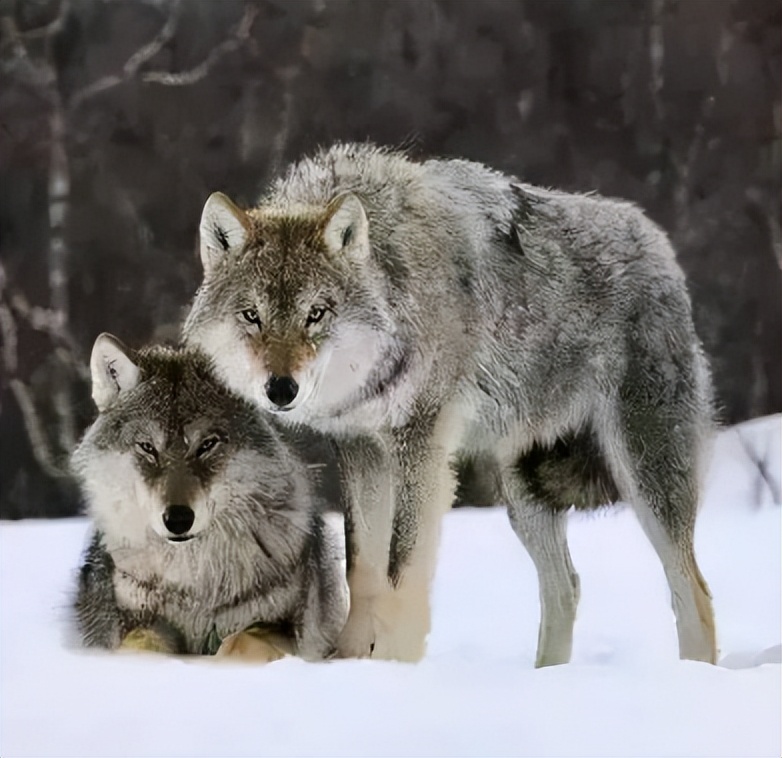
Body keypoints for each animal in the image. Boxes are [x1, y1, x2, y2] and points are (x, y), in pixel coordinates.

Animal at [73, 336, 350, 664]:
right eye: (147, 447)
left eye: (207, 445)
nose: (178, 519)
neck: (194, 584)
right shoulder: (137, 619)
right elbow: (141, 644)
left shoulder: (278, 626)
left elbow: (240, 642)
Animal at [185, 142, 724, 664]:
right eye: (251, 315)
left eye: (316, 314)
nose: (281, 390)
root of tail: (657, 242)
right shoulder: (361, 449)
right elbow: (362, 570)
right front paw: (351, 662)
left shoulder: (420, 445)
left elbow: (400, 573)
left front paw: (393, 666)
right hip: (523, 491)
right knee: (566, 588)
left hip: (644, 475)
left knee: (693, 592)